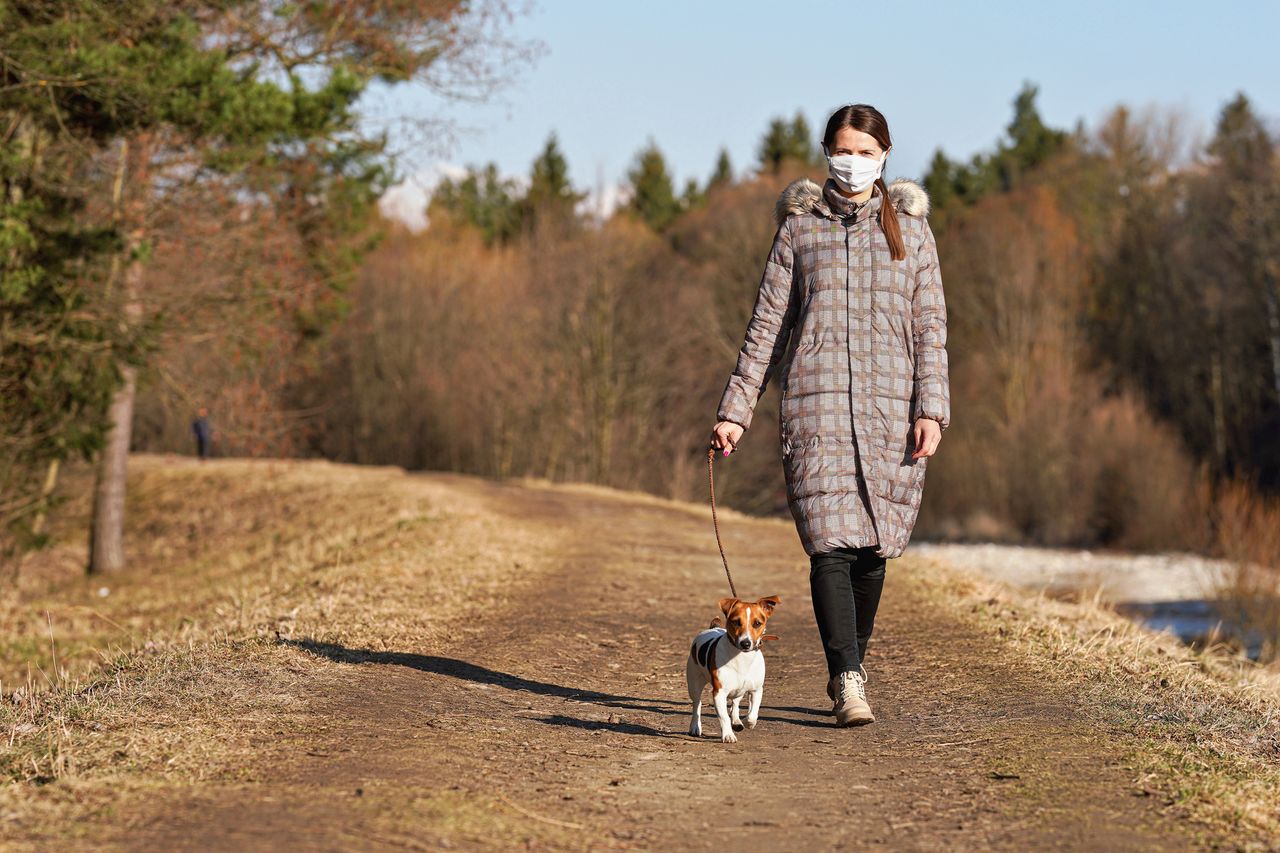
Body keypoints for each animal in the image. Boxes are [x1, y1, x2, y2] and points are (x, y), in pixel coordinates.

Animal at [686, 594, 773, 742]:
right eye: (736, 622)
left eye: (757, 623)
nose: (745, 643)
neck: (742, 658)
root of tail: (713, 627)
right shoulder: (719, 693)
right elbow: (724, 717)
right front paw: (728, 735)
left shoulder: (756, 690)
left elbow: (752, 714)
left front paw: (746, 722)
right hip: (694, 684)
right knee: (697, 704)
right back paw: (695, 727)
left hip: (739, 689)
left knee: (736, 703)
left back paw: (737, 721)